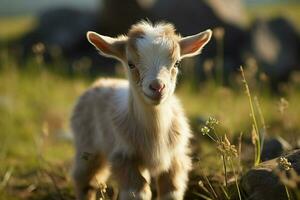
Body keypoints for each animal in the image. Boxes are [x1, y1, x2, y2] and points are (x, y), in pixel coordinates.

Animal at [71, 21, 211, 199]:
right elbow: (138, 192)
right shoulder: (123, 156)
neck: (155, 131)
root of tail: (100, 82)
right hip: (86, 145)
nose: (157, 87)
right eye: (131, 64)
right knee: (86, 181)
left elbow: (171, 191)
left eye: (177, 63)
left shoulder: (175, 158)